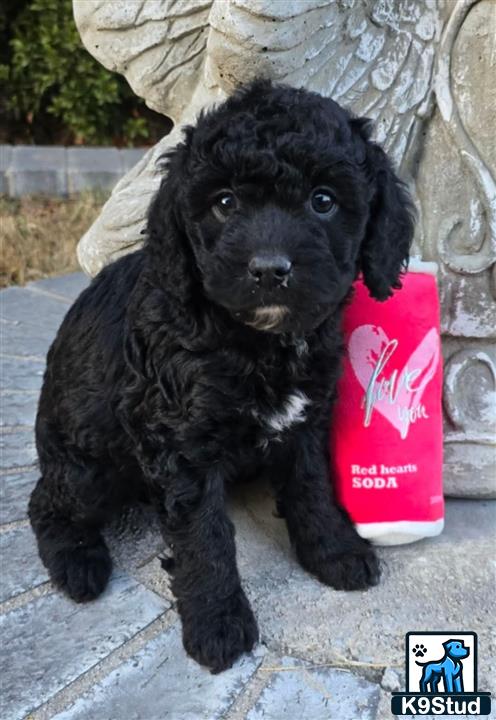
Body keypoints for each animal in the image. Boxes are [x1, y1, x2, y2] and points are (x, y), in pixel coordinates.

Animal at [29, 80, 412, 676]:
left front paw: (334, 551)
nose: (270, 270)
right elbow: (204, 537)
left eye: (323, 201)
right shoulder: (181, 443)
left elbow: (312, 486)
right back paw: (78, 563)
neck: (257, 341)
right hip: (88, 465)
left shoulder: (305, 420)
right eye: (225, 202)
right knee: (46, 501)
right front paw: (218, 622)